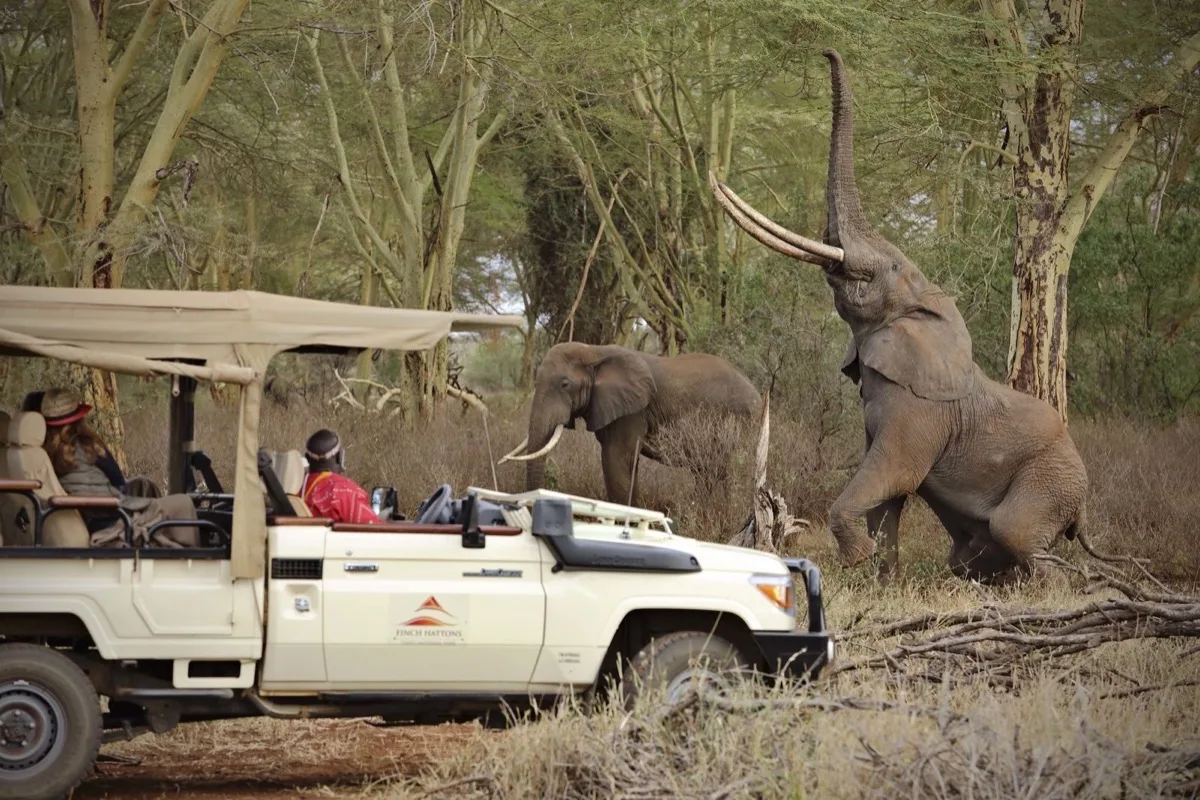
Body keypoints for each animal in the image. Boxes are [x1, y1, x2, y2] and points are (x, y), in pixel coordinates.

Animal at [499, 342, 762, 507]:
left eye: (564, 385)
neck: (593, 351)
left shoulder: (633, 411)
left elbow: (615, 459)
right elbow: (627, 464)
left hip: (740, 419)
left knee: (721, 469)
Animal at [708, 49, 1087, 585]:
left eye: (887, 268)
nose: (826, 51)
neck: (925, 310)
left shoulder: (918, 412)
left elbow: (893, 473)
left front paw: (856, 560)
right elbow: (886, 495)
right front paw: (879, 577)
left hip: (1052, 479)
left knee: (1017, 532)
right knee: (974, 554)